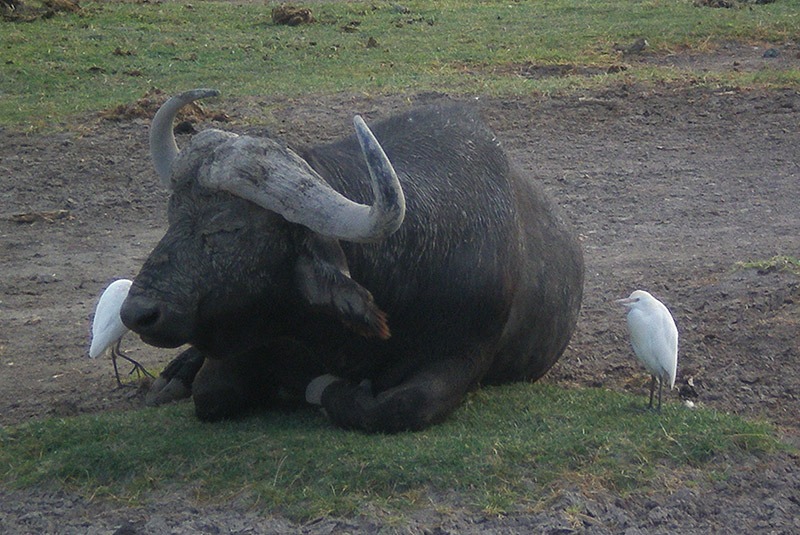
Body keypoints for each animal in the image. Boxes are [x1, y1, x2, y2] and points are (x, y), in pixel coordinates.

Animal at [120, 90, 580, 434]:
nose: (138, 312)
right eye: (173, 216)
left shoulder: (465, 355)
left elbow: (399, 406)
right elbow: (212, 394)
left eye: (228, 228)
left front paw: (323, 389)